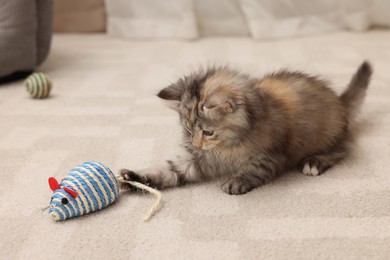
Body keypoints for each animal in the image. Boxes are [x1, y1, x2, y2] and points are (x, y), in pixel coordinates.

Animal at [121, 62, 372, 194]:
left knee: (342, 150)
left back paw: (314, 162)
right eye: (189, 131)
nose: (196, 144)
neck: (228, 146)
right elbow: (168, 171)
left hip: (328, 134)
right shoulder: (197, 160)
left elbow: (253, 170)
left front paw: (237, 180)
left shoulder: (270, 156)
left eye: (208, 132)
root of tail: (340, 101)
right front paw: (134, 178)